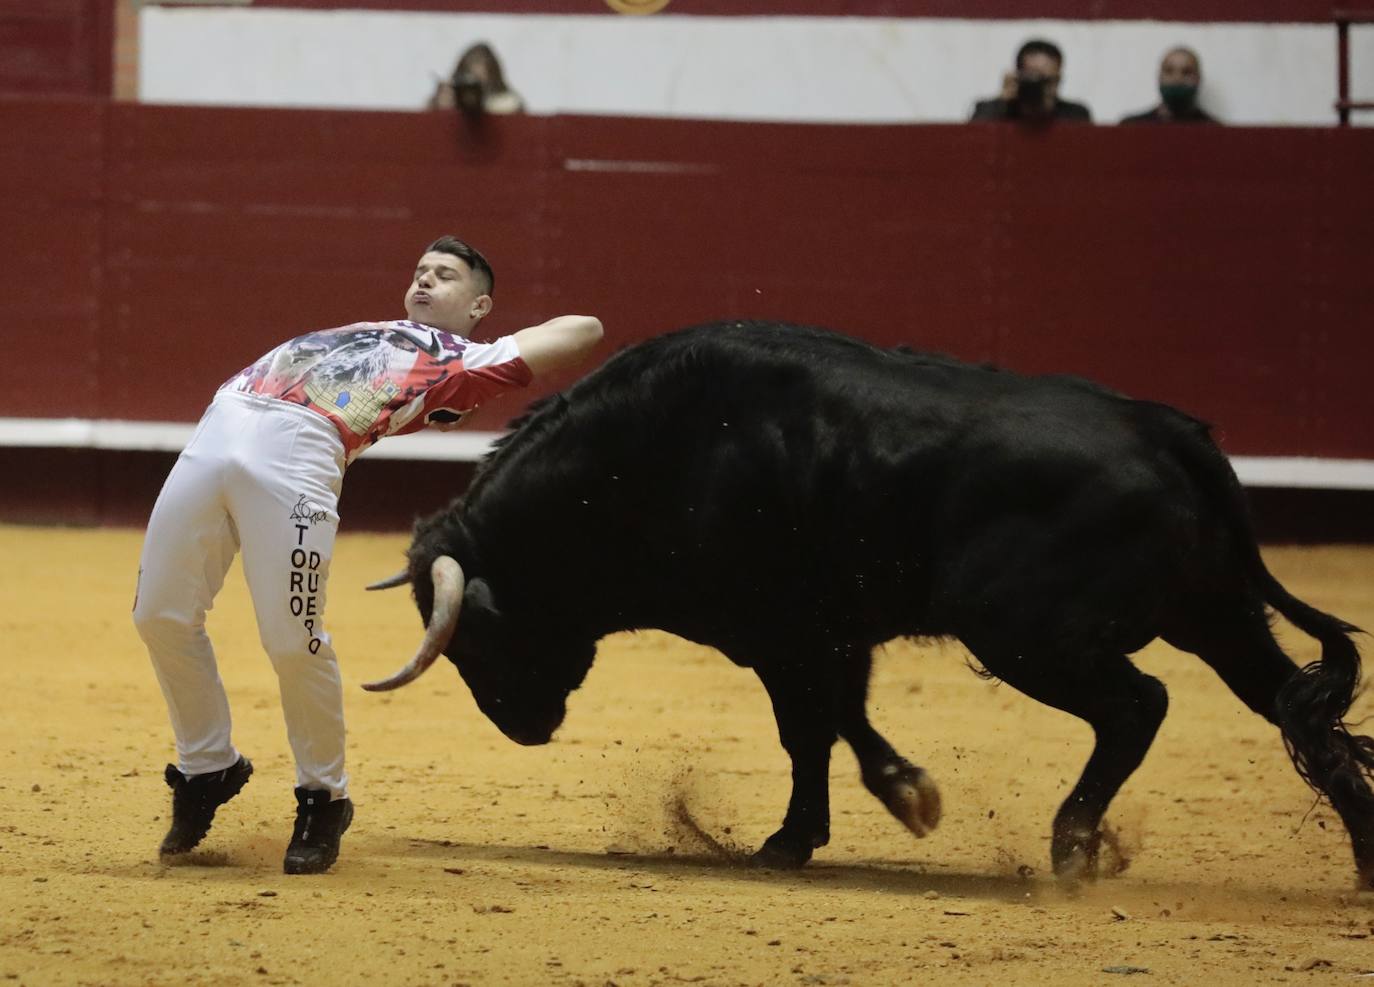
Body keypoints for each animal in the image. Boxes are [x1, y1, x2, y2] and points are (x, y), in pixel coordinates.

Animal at [365, 324, 1374, 890]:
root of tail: (1166, 430)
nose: (522, 727)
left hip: (1026, 633)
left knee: (1139, 704)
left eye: (472, 639)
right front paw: (820, 826)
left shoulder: (784, 632)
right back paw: (1364, 865)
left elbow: (817, 724)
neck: (642, 457)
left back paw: (1071, 846)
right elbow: (827, 724)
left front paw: (868, 809)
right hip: (1218, 616)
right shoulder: (827, 632)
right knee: (1298, 713)